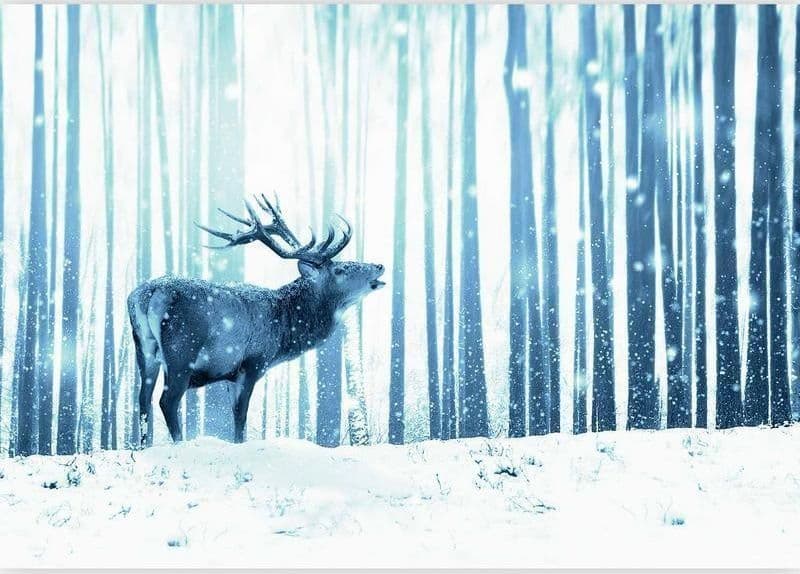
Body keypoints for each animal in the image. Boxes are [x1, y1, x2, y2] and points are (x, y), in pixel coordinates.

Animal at [127, 194, 385, 447]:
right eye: (340, 269)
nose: (379, 265)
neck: (283, 331)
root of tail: (148, 294)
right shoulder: (253, 362)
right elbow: (241, 416)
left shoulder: (229, 374)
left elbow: (234, 415)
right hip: (182, 350)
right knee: (167, 400)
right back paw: (179, 444)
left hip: (144, 349)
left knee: (143, 399)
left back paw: (144, 446)